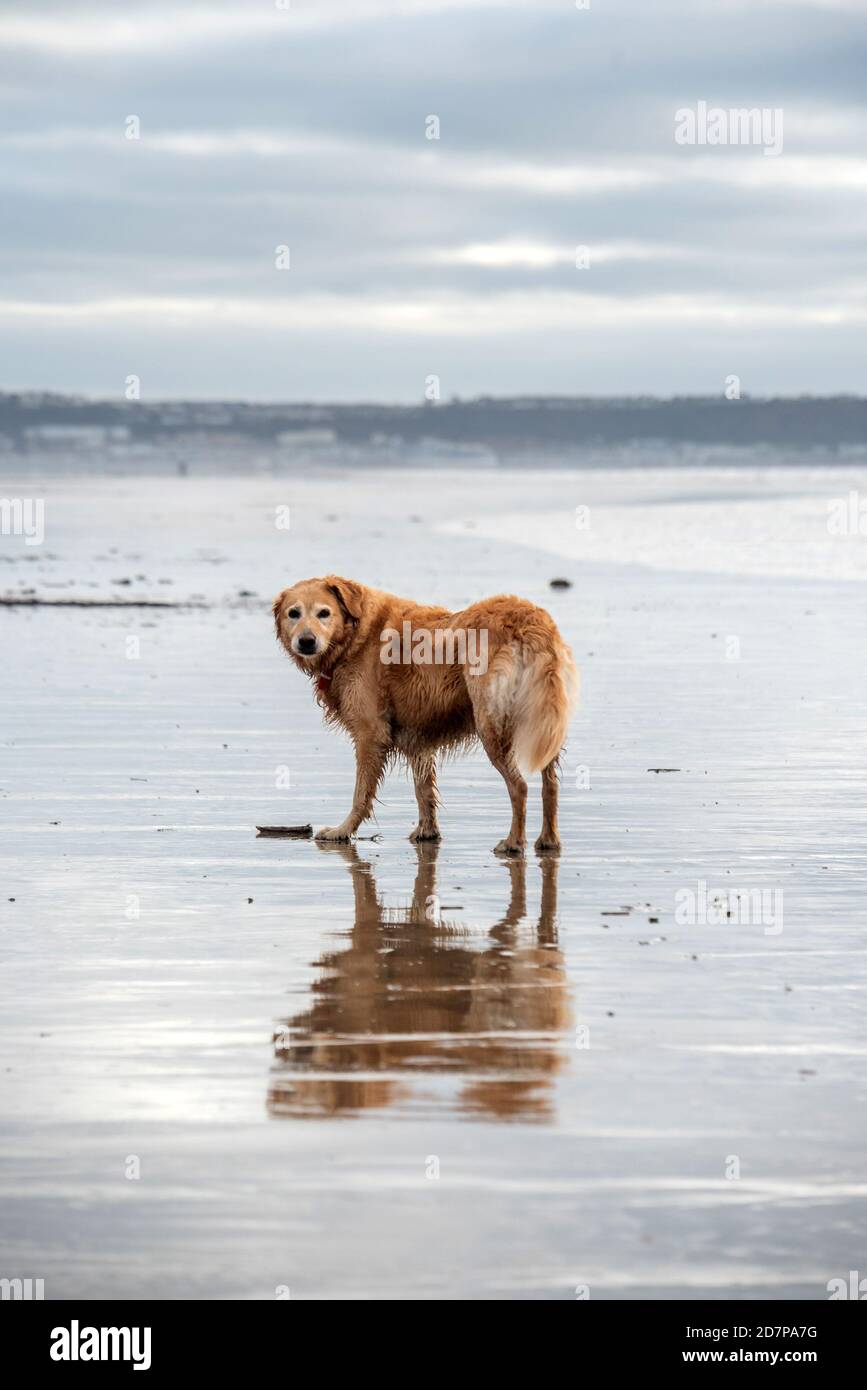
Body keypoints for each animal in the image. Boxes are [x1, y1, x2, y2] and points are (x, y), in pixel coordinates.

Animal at [273, 569, 578, 850]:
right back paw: (549, 840)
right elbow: (424, 790)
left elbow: (361, 793)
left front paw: (343, 830)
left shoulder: (370, 733)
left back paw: (514, 842)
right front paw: (427, 832)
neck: (355, 636)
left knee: (519, 786)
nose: (306, 641)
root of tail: (529, 621)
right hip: (545, 720)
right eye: (293, 613)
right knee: (550, 783)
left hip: (491, 724)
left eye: (324, 613)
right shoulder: (417, 735)